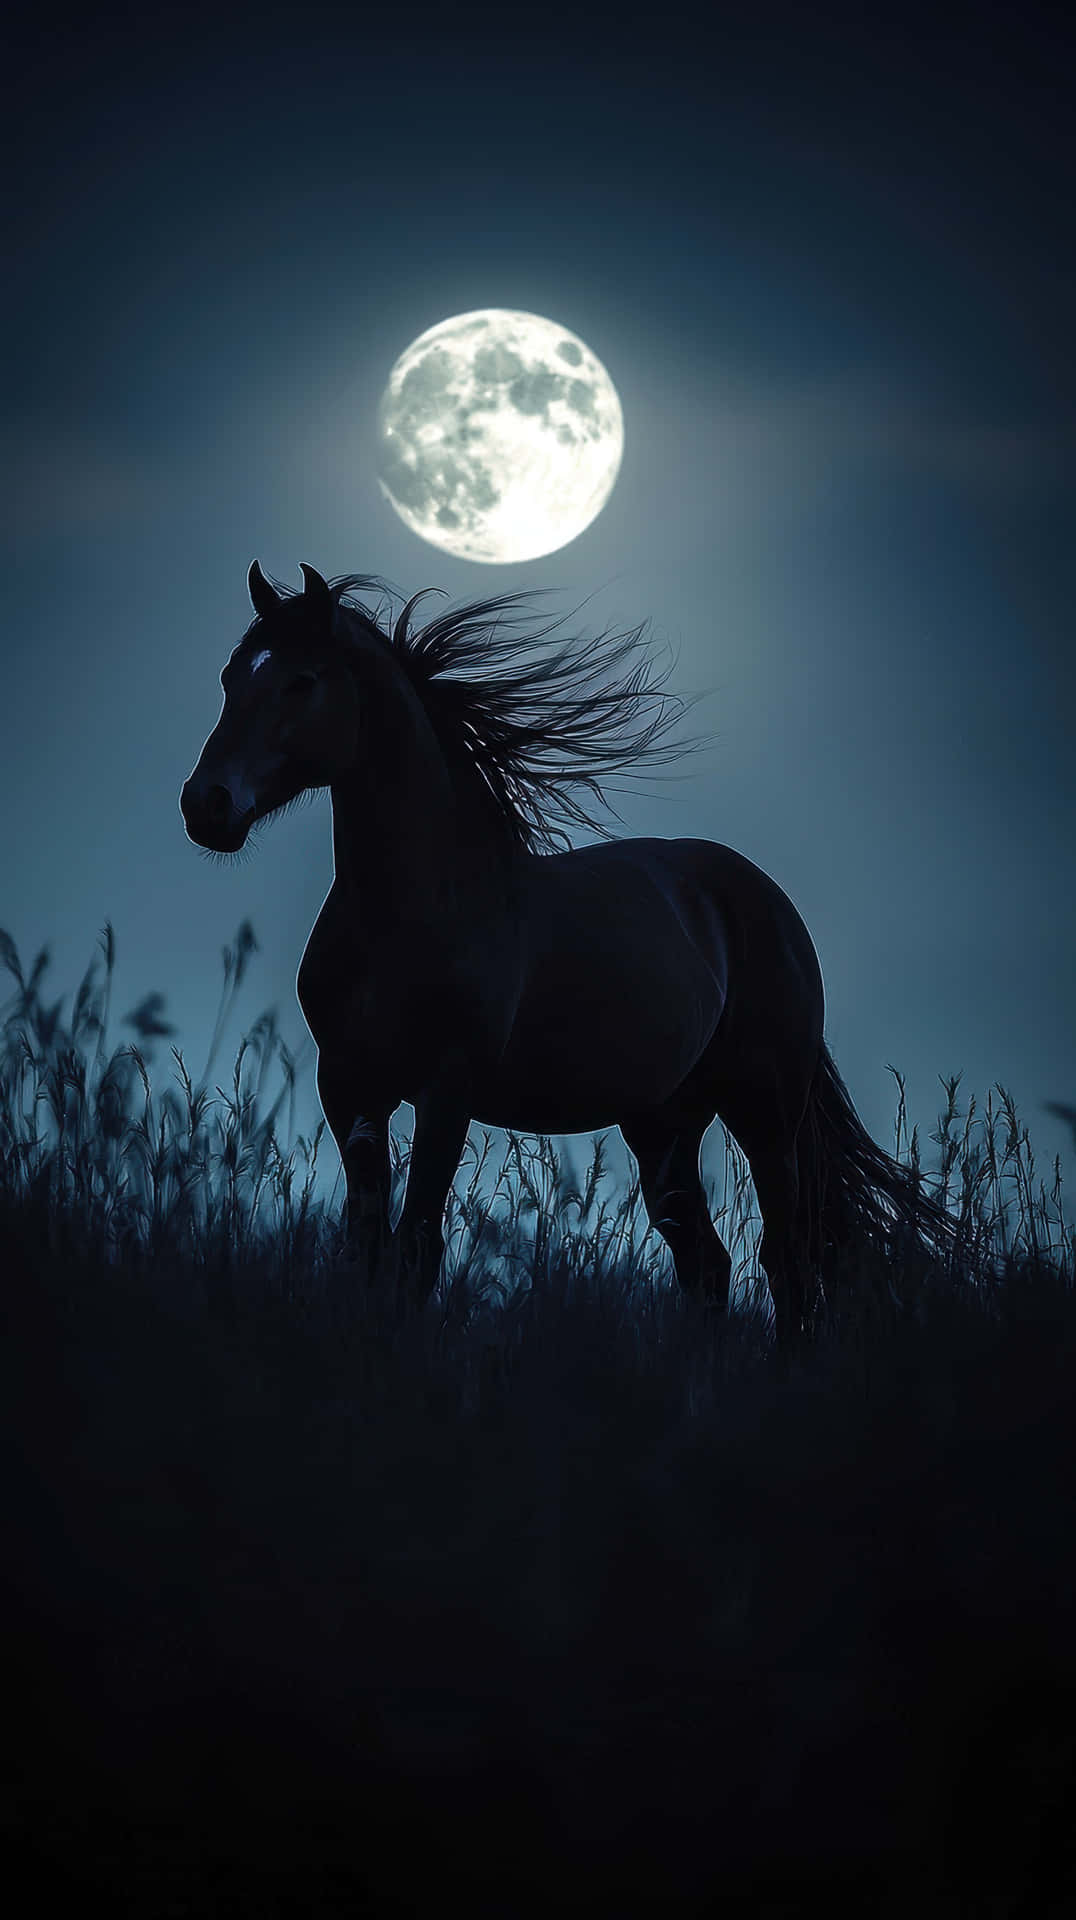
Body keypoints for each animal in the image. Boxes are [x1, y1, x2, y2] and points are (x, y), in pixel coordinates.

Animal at [180, 561, 955, 1347]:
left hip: (766, 1114)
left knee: (786, 1258)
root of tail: (767, 902)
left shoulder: (446, 1092)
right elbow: (366, 1248)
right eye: (228, 679)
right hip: (663, 1124)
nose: (205, 804)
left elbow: (416, 1249)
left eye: (301, 681)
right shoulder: (348, 1090)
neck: (414, 909)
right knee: (707, 1264)